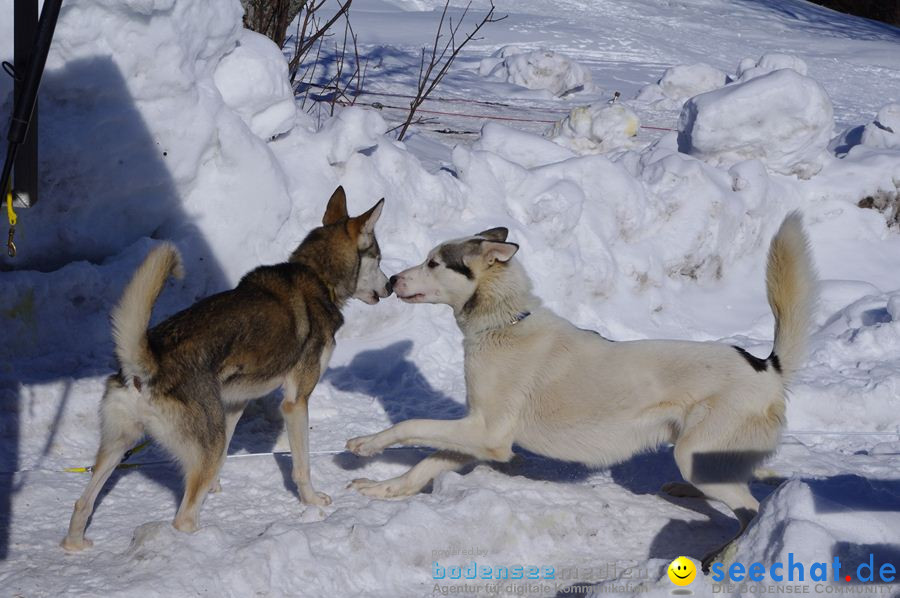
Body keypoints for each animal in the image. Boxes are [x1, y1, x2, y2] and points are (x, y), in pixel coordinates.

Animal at [61, 188, 386, 552]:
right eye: (379, 259)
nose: (390, 286)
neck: (317, 274)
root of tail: (147, 365)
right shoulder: (296, 402)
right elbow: (302, 466)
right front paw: (312, 501)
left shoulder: (232, 406)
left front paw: (215, 488)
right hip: (200, 442)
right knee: (183, 519)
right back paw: (210, 542)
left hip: (122, 445)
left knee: (83, 503)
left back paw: (76, 544)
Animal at [344, 213, 816, 568]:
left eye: (434, 263)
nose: (392, 281)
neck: (502, 324)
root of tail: (766, 367)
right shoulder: (479, 435)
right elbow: (424, 464)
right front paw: (385, 490)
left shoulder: (487, 434)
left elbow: (409, 425)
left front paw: (368, 444)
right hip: (699, 455)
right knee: (735, 485)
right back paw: (690, 493)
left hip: (693, 451)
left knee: (752, 509)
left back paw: (726, 555)